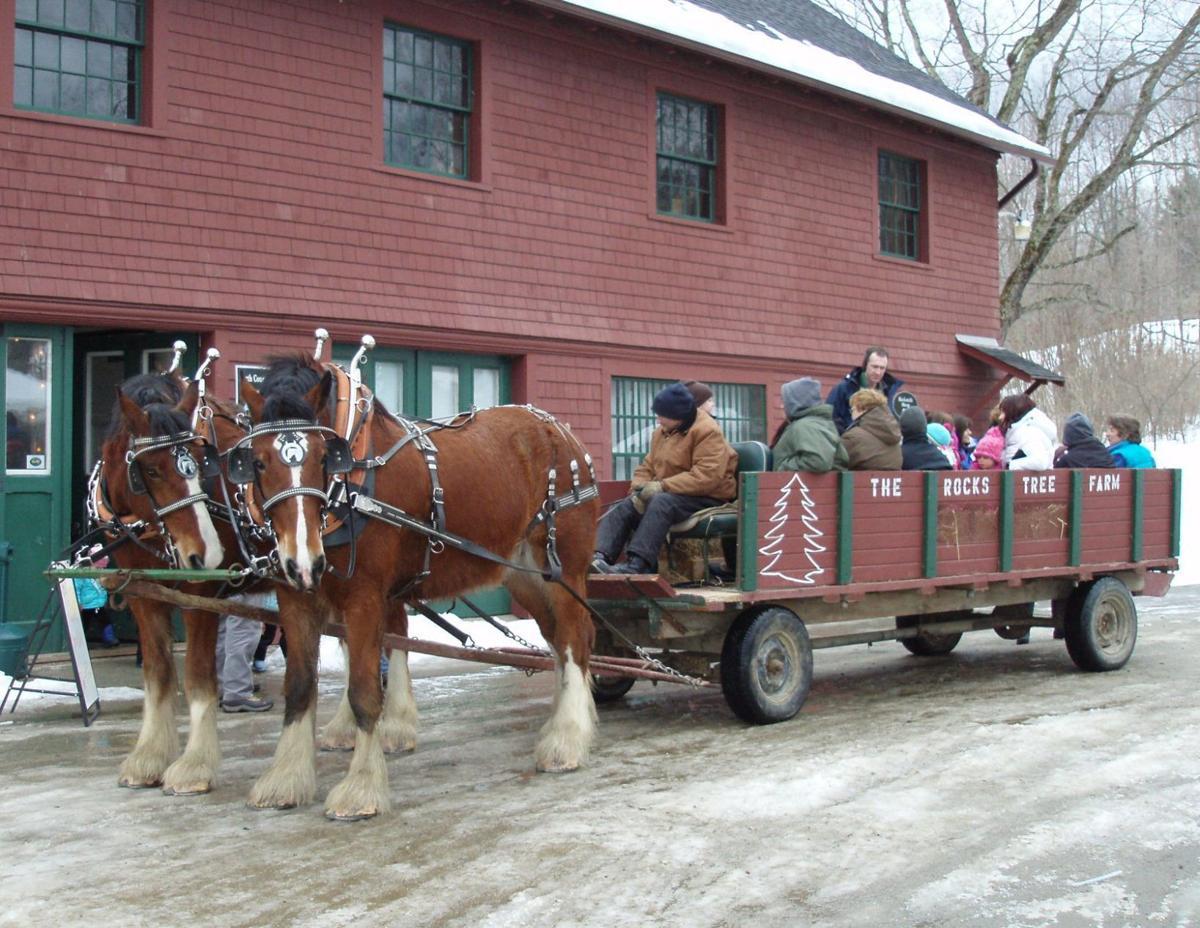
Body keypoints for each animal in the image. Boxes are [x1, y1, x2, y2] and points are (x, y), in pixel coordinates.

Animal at [240, 355, 600, 816]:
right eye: (259, 462)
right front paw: (285, 778)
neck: (353, 483)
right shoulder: (297, 599)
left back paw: (566, 739)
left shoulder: (364, 595)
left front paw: (361, 787)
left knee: (574, 638)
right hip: (524, 576)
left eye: (323, 458)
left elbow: (364, 689)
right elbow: (301, 687)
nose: (303, 560)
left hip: (562, 567)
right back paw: (564, 719)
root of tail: (564, 433)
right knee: (558, 639)